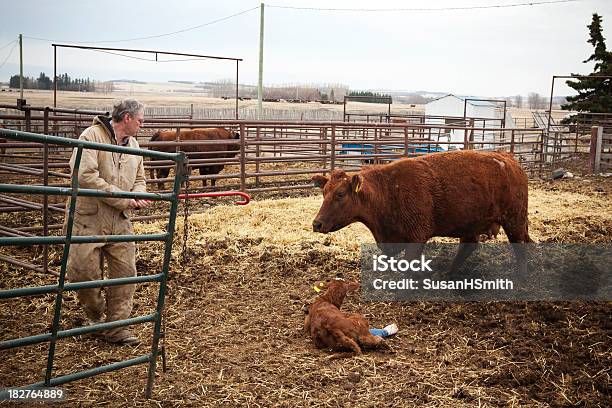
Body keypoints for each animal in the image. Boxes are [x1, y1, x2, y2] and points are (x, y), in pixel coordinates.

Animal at [310, 151, 532, 278]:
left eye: (340, 194)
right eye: (324, 192)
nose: (316, 224)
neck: (388, 190)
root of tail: (510, 161)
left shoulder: (417, 237)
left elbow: (409, 265)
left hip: (513, 220)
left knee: (520, 247)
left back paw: (521, 278)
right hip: (471, 225)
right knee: (468, 246)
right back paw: (448, 275)